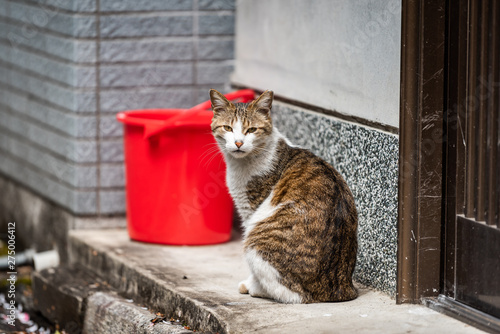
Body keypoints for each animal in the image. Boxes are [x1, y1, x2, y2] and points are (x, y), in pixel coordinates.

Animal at [209, 90, 358, 304]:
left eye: (252, 130)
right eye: (228, 128)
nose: (238, 143)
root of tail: (339, 290)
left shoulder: (250, 210)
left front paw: (251, 283)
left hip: (256, 239)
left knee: (293, 295)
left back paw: (257, 289)